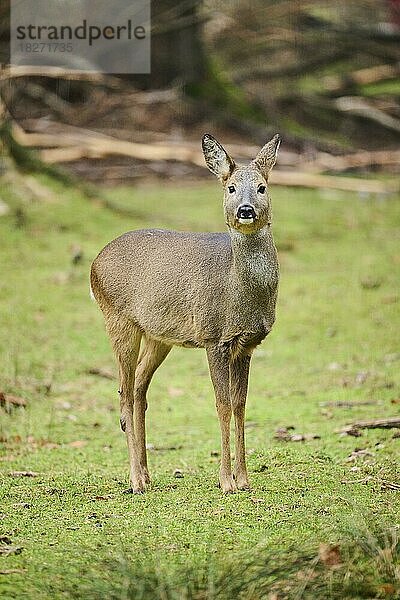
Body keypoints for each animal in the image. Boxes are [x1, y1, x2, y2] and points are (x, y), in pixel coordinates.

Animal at [90, 134, 282, 494]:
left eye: (262, 187)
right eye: (231, 187)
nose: (245, 210)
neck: (238, 288)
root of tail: (94, 263)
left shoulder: (247, 344)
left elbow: (241, 405)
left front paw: (245, 479)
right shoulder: (214, 337)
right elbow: (222, 405)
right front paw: (226, 482)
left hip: (157, 335)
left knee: (138, 389)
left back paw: (147, 474)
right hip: (118, 319)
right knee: (123, 395)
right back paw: (135, 481)